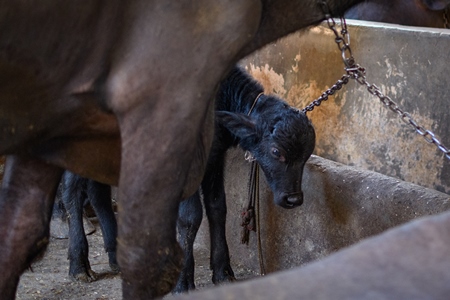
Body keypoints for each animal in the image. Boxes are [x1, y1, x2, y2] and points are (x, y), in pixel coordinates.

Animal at [0, 1, 362, 298]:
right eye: (276, 151)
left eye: (306, 154)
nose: (293, 199)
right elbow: (190, 216)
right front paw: (183, 282)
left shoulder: (215, 157)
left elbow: (218, 207)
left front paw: (223, 272)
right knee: (74, 192)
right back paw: (79, 264)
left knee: (98, 192)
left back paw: (115, 255)